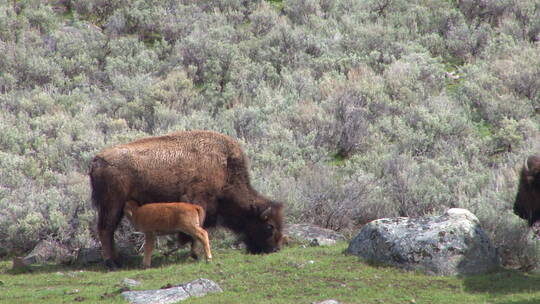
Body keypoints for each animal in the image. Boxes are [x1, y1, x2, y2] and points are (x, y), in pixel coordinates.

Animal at [89, 130, 282, 268]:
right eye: (269, 226)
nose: (274, 249)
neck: (225, 168)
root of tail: (97, 160)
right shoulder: (198, 202)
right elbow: (195, 231)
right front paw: (195, 254)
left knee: (108, 231)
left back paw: (117, 260)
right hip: (112, 205)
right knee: (105, 230)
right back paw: (112, 263)